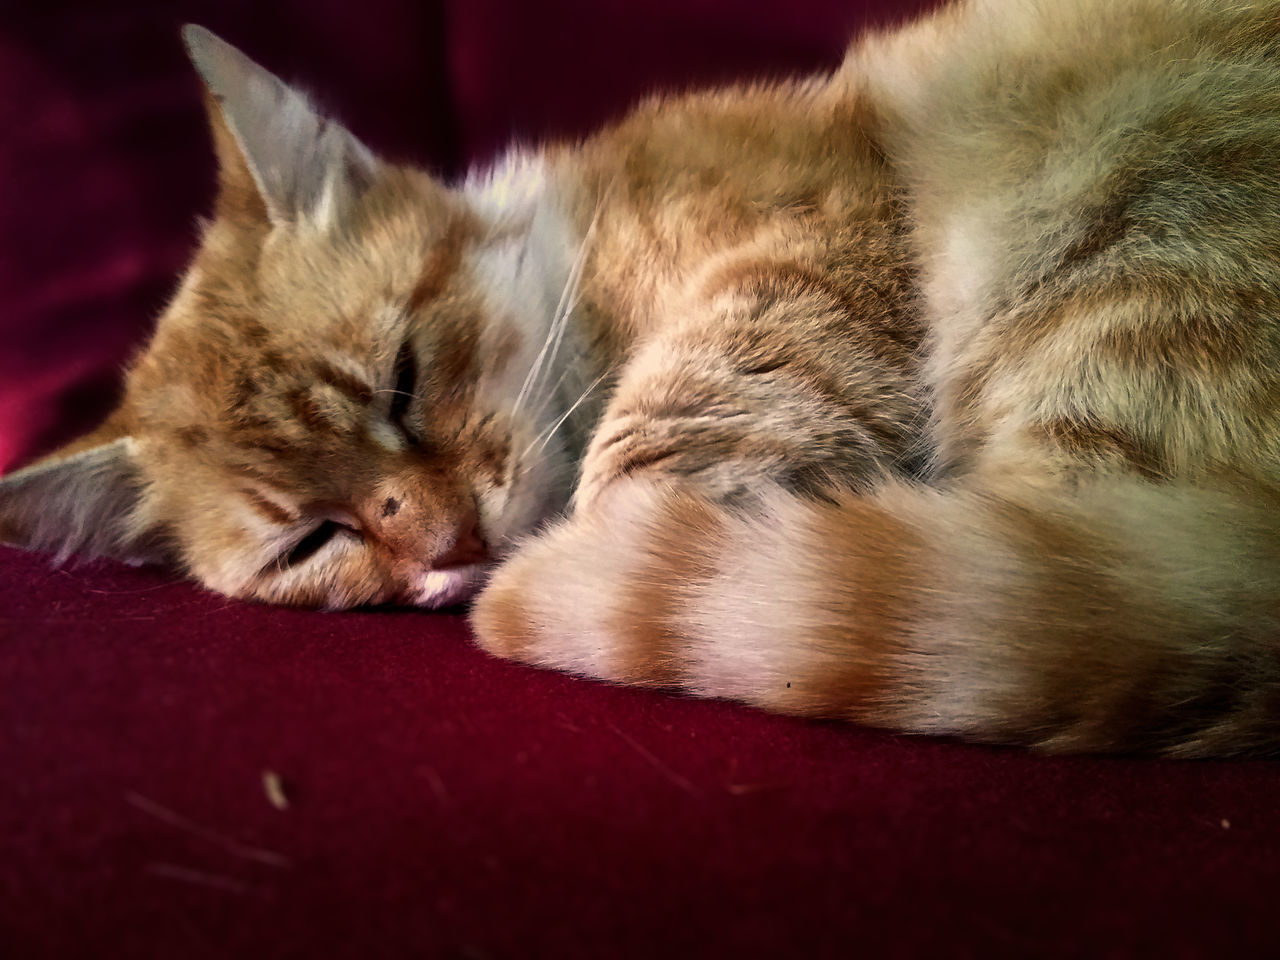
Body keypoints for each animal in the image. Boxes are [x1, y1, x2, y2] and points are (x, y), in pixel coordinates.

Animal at [2, 0, 1280, 757]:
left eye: (400, 382)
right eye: (308, 545)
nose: (449, 544)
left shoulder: (808, 227)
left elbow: (665, 432)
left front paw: (618, 541)